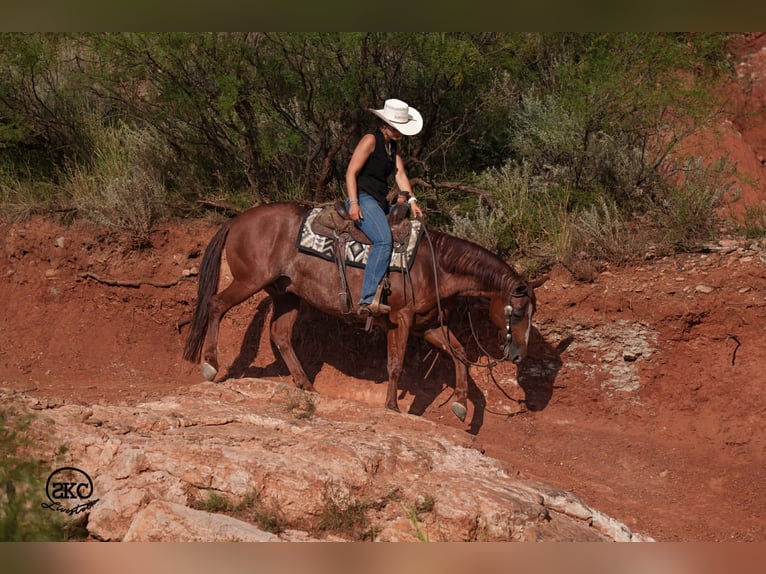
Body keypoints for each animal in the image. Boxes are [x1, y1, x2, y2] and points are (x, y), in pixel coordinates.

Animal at [183, 201, 547, 421]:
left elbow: (458, 353)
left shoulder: (427, 324)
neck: (434, 266)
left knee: (281, 334)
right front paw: (393, 406)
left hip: (286, 294)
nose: (518, 354)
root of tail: (237, 219)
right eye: (518, 312)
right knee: (216, 305)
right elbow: (396, 363)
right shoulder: (401, 319)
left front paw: (459, 402)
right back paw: (211, 364)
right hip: (250, 280)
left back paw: (307, 386)